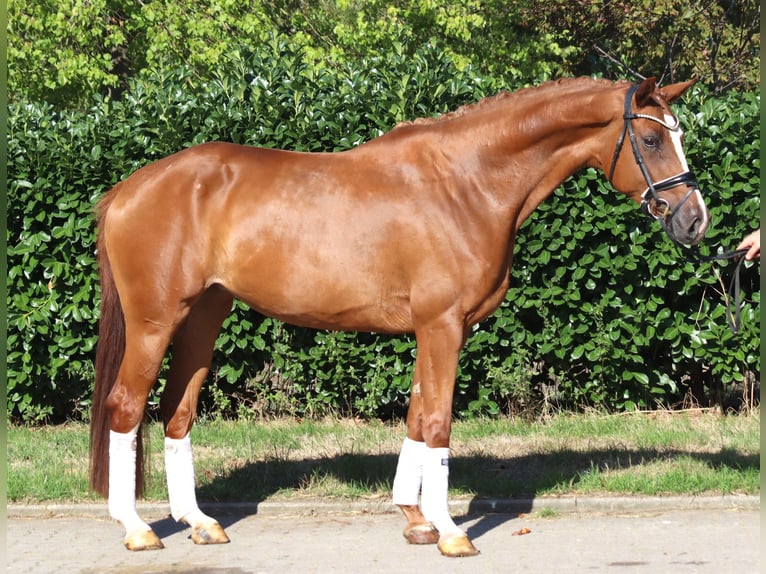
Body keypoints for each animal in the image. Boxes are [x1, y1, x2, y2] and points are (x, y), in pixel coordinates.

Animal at [89, 76, 709, 557]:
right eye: (651, 138)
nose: (695, 221)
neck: (466, 183)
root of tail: (127, 189)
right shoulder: (443, 326)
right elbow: (437, 421)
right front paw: (452, 532)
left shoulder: (437, 330)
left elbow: (415, 415)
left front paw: (416, 520)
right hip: (154, 322)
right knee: (126, 407)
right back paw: (138, 529)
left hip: (204, 316)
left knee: (177, 411)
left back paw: (199, 522)